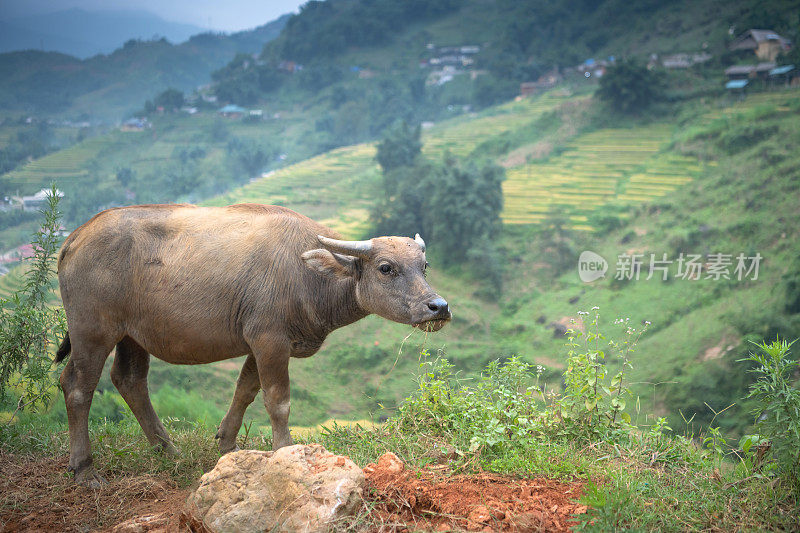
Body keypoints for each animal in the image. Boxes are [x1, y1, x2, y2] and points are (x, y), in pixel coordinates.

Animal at [55, 204, 450, 486]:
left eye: (424, 265)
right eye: (386, 268)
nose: (439, 307)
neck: (306, 274)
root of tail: (74, 238)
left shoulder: (261, 344)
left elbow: (244, 390)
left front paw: (226, 444)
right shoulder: (269, 340)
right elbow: (277, 400)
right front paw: (284, 451)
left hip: (132, 335)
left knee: (130, 380)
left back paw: (167, 449)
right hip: (93, 332)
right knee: (77, 387)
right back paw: (85, 469)